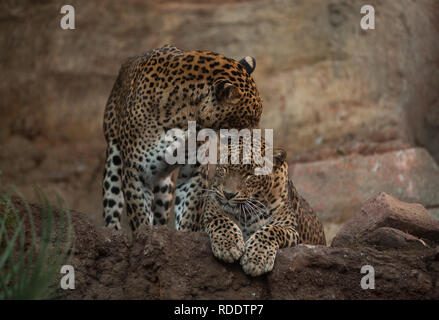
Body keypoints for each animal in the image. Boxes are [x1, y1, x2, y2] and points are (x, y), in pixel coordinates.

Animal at [102, 44, 262, 232]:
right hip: (113, 157)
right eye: (250, 118)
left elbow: (189, 212)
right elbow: (140, 216)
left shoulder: (193, 173)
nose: (256, 141)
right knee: (112, 201)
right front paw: (144, 234)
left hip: (164, 186)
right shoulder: (135, 173)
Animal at [203, 136, 326, 276]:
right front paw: (228, 245)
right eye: (224, 168)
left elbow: (270, 230)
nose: (228, 194)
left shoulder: (291, 230)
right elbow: (220, 219)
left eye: (250, 175)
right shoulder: (210, 211)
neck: (246, 215)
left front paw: (255, 259)